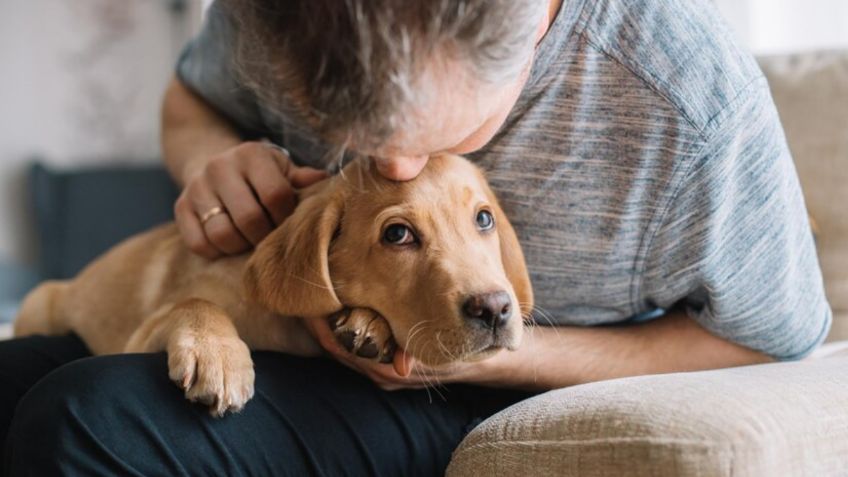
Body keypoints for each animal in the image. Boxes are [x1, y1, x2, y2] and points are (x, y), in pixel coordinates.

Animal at [13, 154, 532, 414]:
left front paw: (368, 326)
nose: (495, 309)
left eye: (484, 219)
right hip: (40, 303)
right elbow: (195, 301)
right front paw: (218, 357)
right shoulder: (135, 337)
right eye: (397, 234)